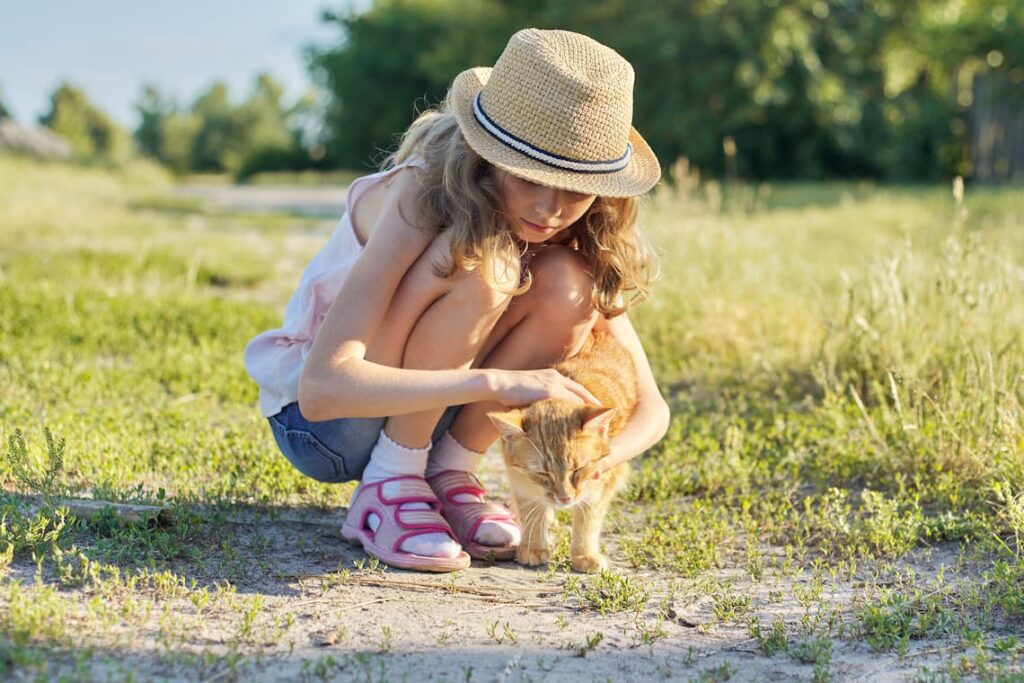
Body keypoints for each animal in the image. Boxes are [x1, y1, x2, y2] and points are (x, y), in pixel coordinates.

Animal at [489, 329, 638, 573]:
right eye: (543, 473)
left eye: (578, 470)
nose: (565, 498)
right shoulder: (521, 483)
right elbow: (533, 511)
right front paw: (533, 547)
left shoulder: (603, 483)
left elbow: (587, 522)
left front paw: (584, 555)